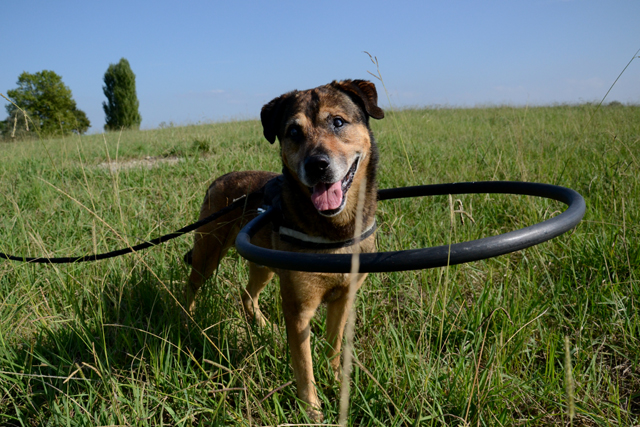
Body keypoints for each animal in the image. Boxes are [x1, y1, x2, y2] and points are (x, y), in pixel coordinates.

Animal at [185, 78, 384, 420]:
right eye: (293, 131)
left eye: (338, 122)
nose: (317, 166)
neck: (333, 231)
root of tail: (219, 180)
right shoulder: (298, 309)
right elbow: (304, 367)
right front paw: (312, 412)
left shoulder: (343, 298)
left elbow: (333, 347)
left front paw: (335, 382)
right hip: (208, 253)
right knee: (191, 285)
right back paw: (186, 319)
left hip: (264, 265)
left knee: (247, 293)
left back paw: (262, 326)